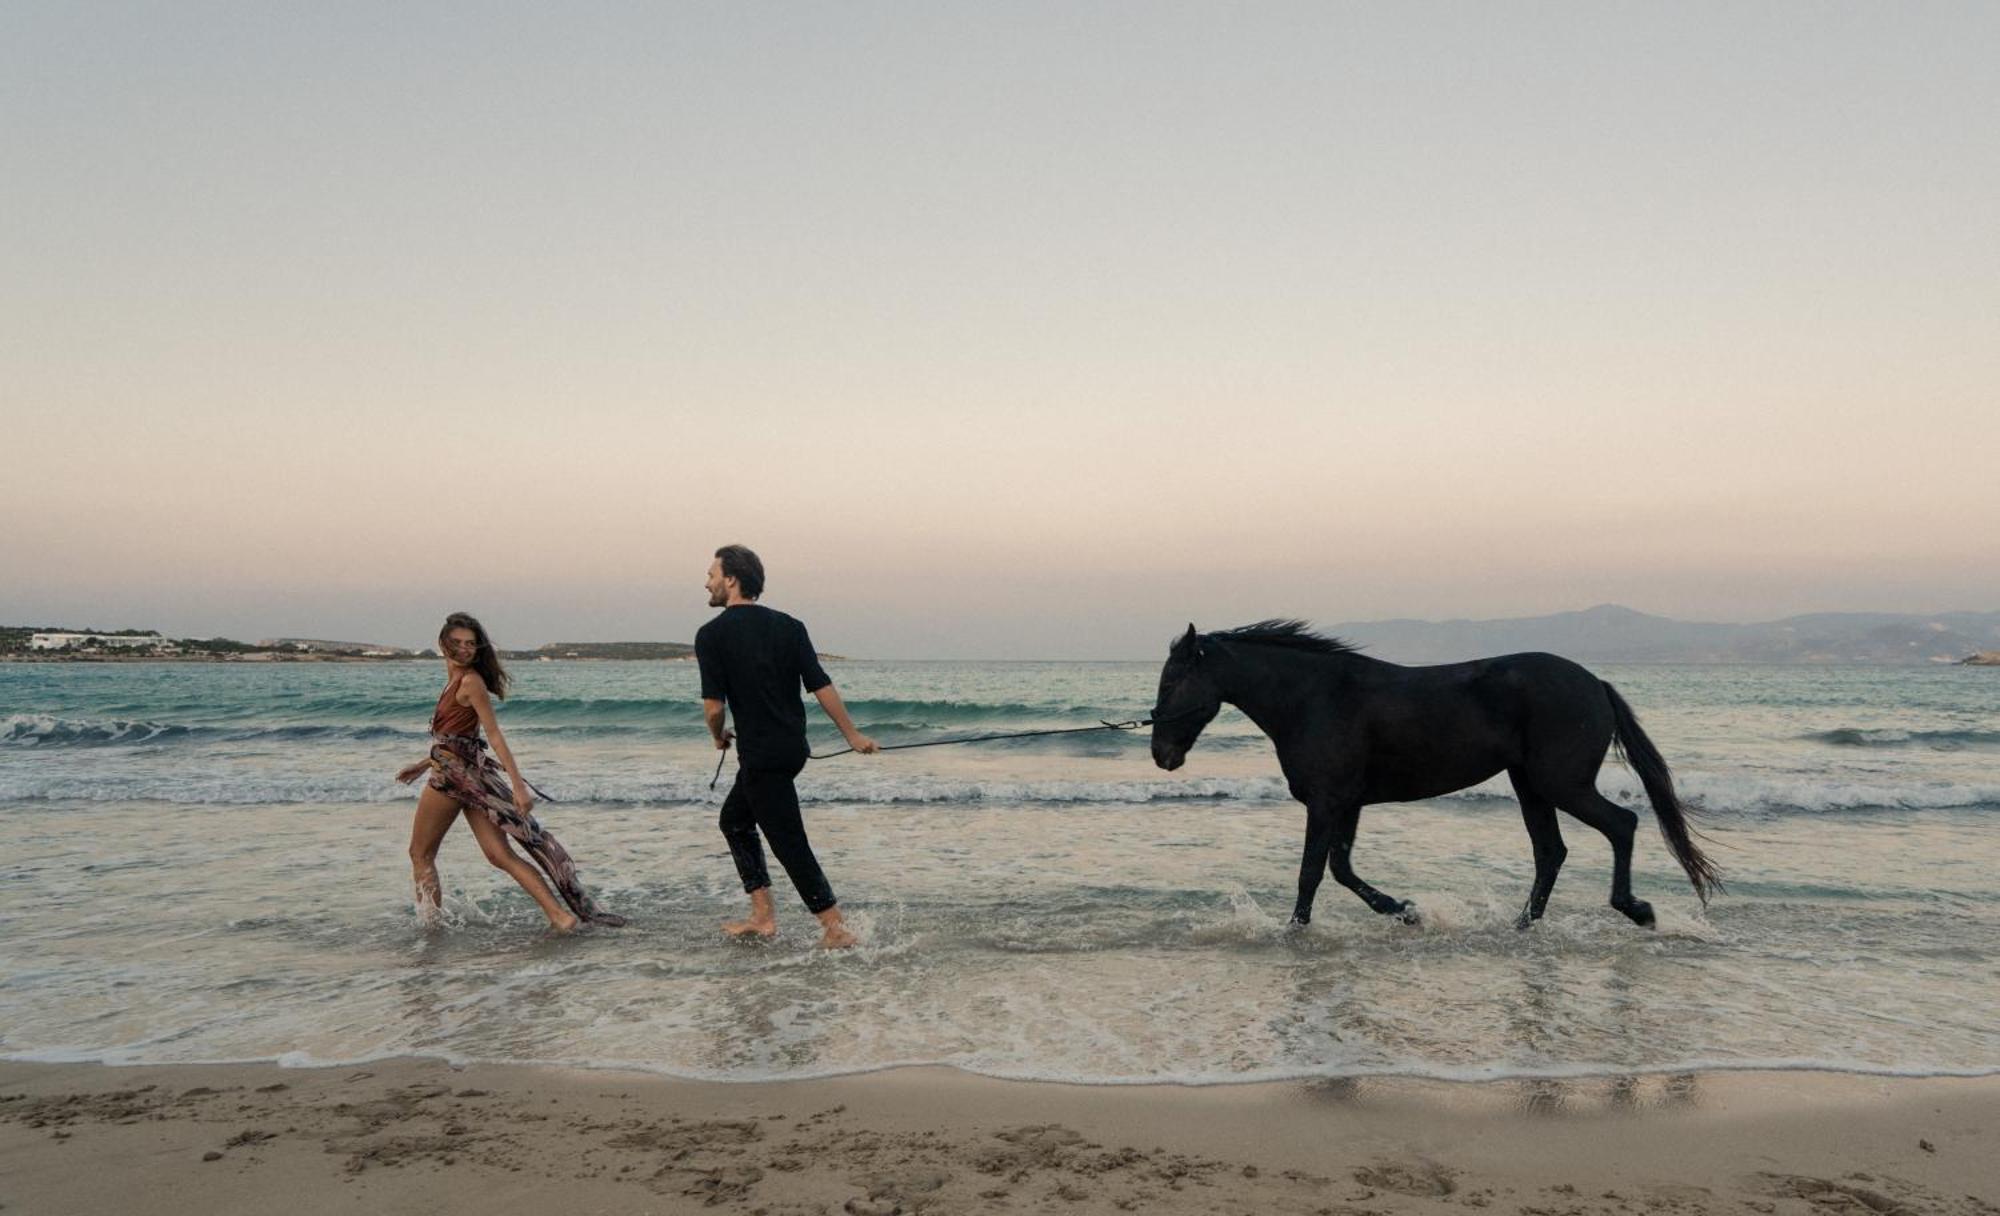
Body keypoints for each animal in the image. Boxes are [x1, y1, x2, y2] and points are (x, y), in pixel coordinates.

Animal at [1160, 624, 1720, 928]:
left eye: (1171, 681)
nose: (1162, 754)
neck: (1315, 699)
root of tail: (1595, 683)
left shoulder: (1327, 801)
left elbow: (1312, 873)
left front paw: (1296, 929)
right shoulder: (1346, 803)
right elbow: (1341, 868)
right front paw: (1404, 910)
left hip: (1561, 784)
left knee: (1621, 824)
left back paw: (1636, 910)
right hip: (1531, 786)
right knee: (1551, 852)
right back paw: (1522, 926)